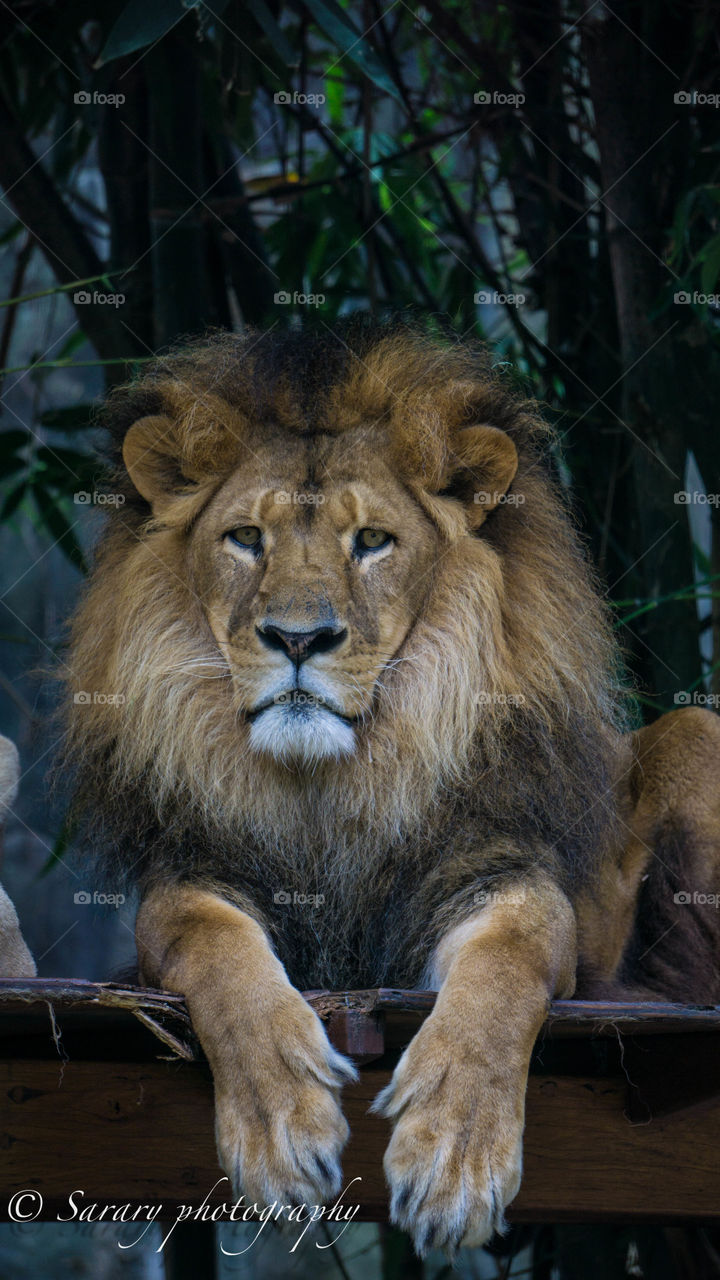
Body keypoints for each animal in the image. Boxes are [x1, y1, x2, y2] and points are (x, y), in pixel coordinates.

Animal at [59, 320, 720, 1256]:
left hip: (701, 734)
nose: (299, 638)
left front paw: (455, 1155)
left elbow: (507, 971)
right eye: (245, 539)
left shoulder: (491, 875)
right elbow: (212, 948)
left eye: (371, 541)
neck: (333, 786)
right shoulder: (199, 875)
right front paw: (281, 1126)